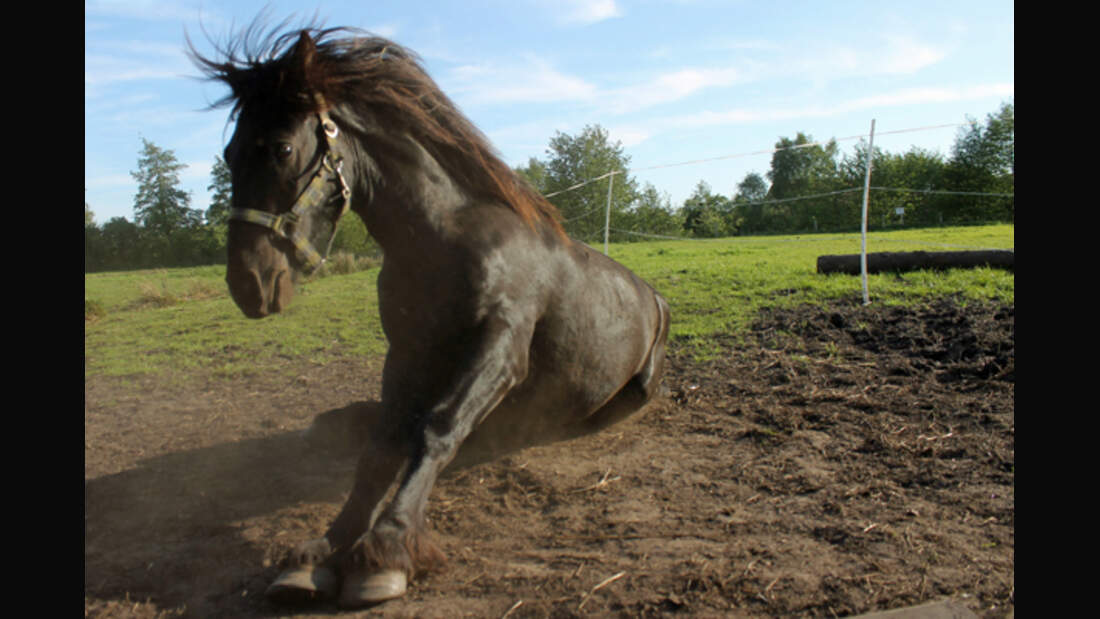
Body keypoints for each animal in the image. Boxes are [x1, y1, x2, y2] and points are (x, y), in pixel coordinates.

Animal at [190, 24, 668, 611]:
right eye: (230, 151)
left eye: (280, 147)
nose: (249, 283)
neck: (443, 241)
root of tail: (652, 296)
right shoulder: (406, 351)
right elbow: (381, 447)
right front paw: (323, 550)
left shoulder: (500, 348)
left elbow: (436, 427)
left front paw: (387, 550)